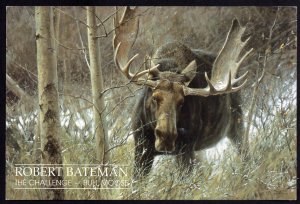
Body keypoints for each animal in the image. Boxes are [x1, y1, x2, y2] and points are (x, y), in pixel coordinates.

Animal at [113, 6, 252, 180]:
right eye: (155, 98)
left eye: (181, 102)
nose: (166, 137)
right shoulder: (141, 147)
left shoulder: (186, 148)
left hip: (236, 124)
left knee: (245, 153)